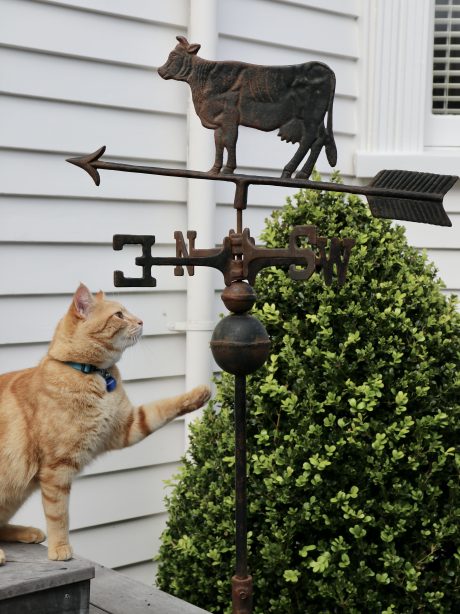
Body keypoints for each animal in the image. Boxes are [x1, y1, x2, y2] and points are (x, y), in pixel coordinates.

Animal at [0, 286, 211, 564]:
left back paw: (27, 531)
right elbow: (59, 515)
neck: (93, 374)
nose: (141, 321)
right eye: (119, 315)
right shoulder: (57, 469)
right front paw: (60, 548)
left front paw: (198, 394)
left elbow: (162, 408)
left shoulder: (127, 426)